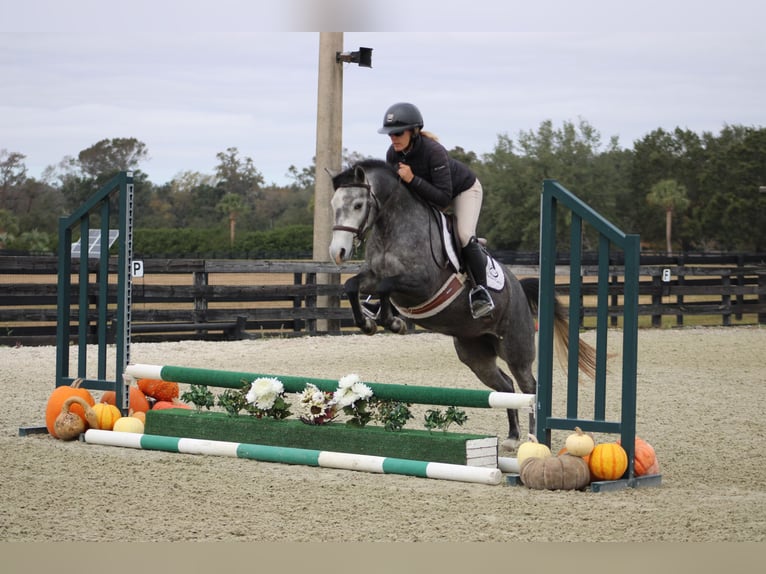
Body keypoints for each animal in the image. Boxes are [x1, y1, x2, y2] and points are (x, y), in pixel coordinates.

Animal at [328, 159, 596, 450]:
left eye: (358, 205)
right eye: (333, 204)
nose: (337, 253)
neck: (393, 226)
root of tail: (519, 288)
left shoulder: (421, 285)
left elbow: (387, 286)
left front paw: (393, 322)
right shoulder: (374, 276)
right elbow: (352, 285)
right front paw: (370, 322)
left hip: (516, 348)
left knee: (529, 388)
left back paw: (532, 441)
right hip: (475, 354)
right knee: (505, 386)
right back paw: (512, 437)